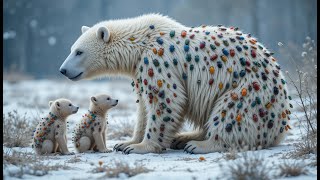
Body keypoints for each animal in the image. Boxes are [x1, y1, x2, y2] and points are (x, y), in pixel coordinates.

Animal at [58, 14, 292, 155]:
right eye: (72, 48)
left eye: (79, 51)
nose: (63, 70)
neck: (141, 41)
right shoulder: (141, 69)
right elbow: (144, 107)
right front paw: (125, 143)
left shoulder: (158, 61)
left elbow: (166, 100)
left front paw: (140, 147)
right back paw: (184, 138)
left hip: (252, 90)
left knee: (233, 111)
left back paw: (199, 144)